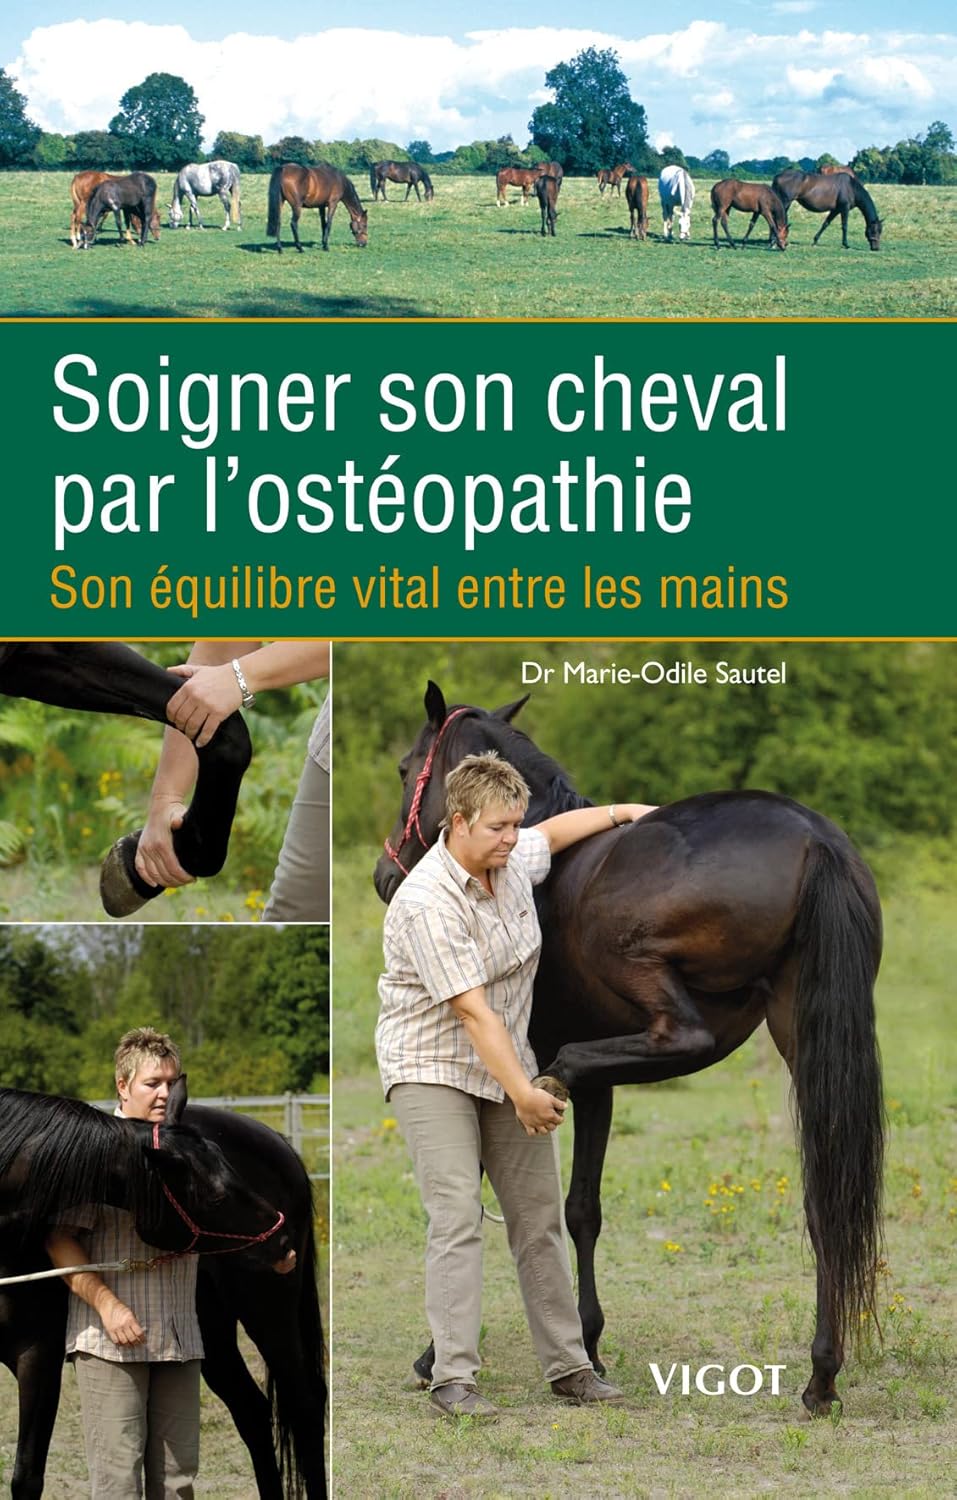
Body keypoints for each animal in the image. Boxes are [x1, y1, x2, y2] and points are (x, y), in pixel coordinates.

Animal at [0, 1082, 326, 1499]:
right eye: (217, 1196)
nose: (283, 1241)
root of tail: (282, 1146)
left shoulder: (37, 1356)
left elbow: (26, 1477)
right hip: (215, 1337)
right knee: (253, 1412)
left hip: (269, 1315)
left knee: (305, 1406)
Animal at [375, 683, 885, 1419]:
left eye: (403, 767)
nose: (387, 876)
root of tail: (814, 837)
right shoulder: (604, 1089)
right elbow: (581, 1210)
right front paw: (586, 1343)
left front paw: (436, 1356)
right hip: (802, 1030)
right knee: (826, 1197)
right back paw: (821, 1377)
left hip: (642, 966)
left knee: (680, 1039)